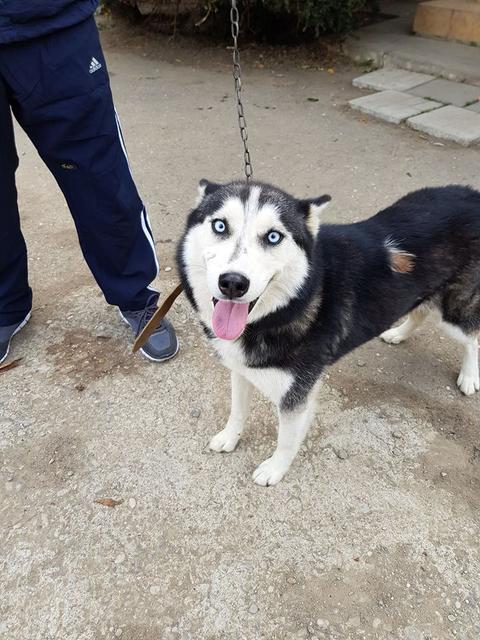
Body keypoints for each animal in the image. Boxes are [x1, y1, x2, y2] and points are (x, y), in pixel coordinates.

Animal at [178, 180, 480, 484]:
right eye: (220, 226)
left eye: (273, 237)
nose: (233, 283)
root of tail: (471, 193)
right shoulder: (241, 370)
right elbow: (237, 410)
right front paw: (230, 437)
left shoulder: (296, 395)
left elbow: (286, 440)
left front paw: (275, 469)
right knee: (420, 310)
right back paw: (398, 333)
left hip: (455, 314)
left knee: (471, 337)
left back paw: (469, 376)